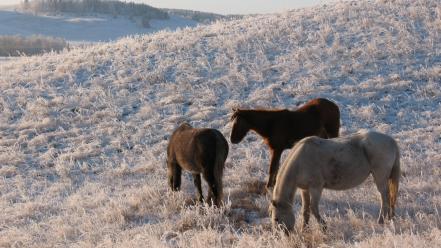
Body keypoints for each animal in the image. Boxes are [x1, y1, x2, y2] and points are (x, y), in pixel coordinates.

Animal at [268, 131, 398, 232]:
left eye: (276, 219)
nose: (281, 235)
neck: (301, 161)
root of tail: (391, 141)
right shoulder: (304, 189)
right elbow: (305, 211)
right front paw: (304, 229)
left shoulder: (316, 188)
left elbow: (313, 208)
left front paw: (323, 227)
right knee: (389, 198)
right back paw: (390, 218)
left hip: (380, 177)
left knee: (385, 198)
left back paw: (381, 221)